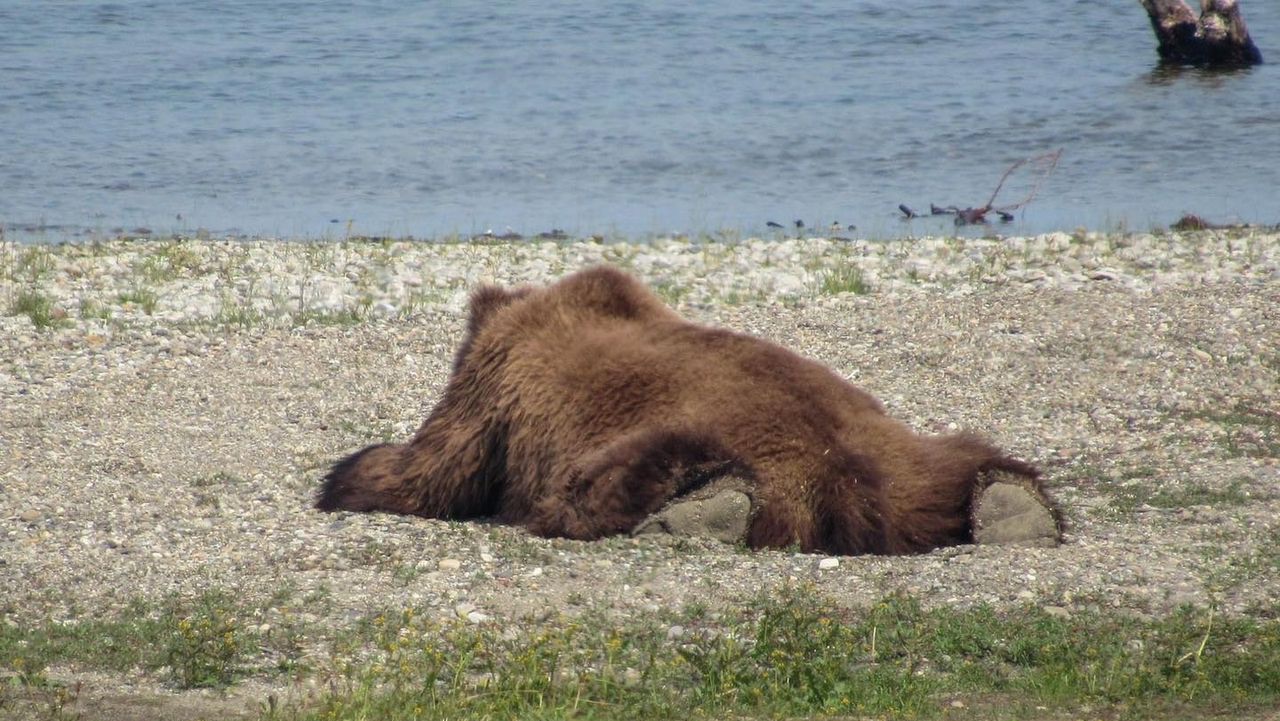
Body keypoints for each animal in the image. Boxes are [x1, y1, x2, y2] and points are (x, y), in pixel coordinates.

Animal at [314, 267, 1054, 555]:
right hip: (901, 448)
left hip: (680, 439)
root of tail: (851, 485)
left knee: (599, 484)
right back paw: (1015, 504)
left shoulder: (492, 390)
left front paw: (345, 474)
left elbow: (428, 472)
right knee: (957, 454)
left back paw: (700, 509)